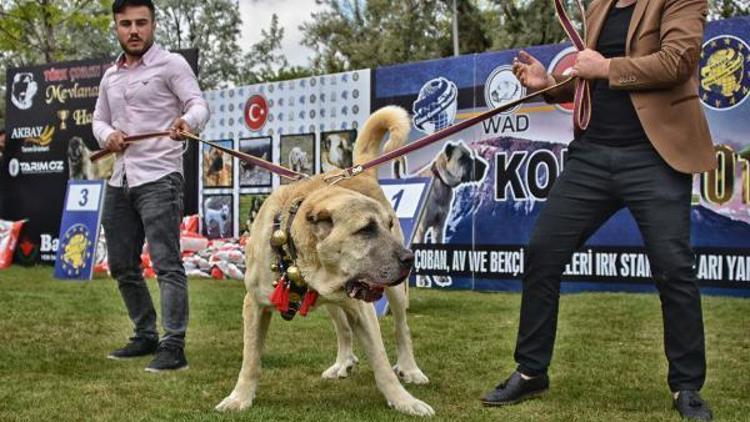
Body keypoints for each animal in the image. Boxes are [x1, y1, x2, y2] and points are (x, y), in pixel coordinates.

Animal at [216, 107, 434, 418]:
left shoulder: (364, 309)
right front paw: (240, 397)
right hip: (334, 303)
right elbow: (250, 359)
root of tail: (359, 170)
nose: (409, 258)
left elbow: (381, 361)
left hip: (393, 292)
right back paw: (344, 362)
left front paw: (403, 400)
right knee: (343, 328)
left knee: (401, 328)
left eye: (388, 225)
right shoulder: (255, 305)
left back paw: (410, 369)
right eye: (366, 229)